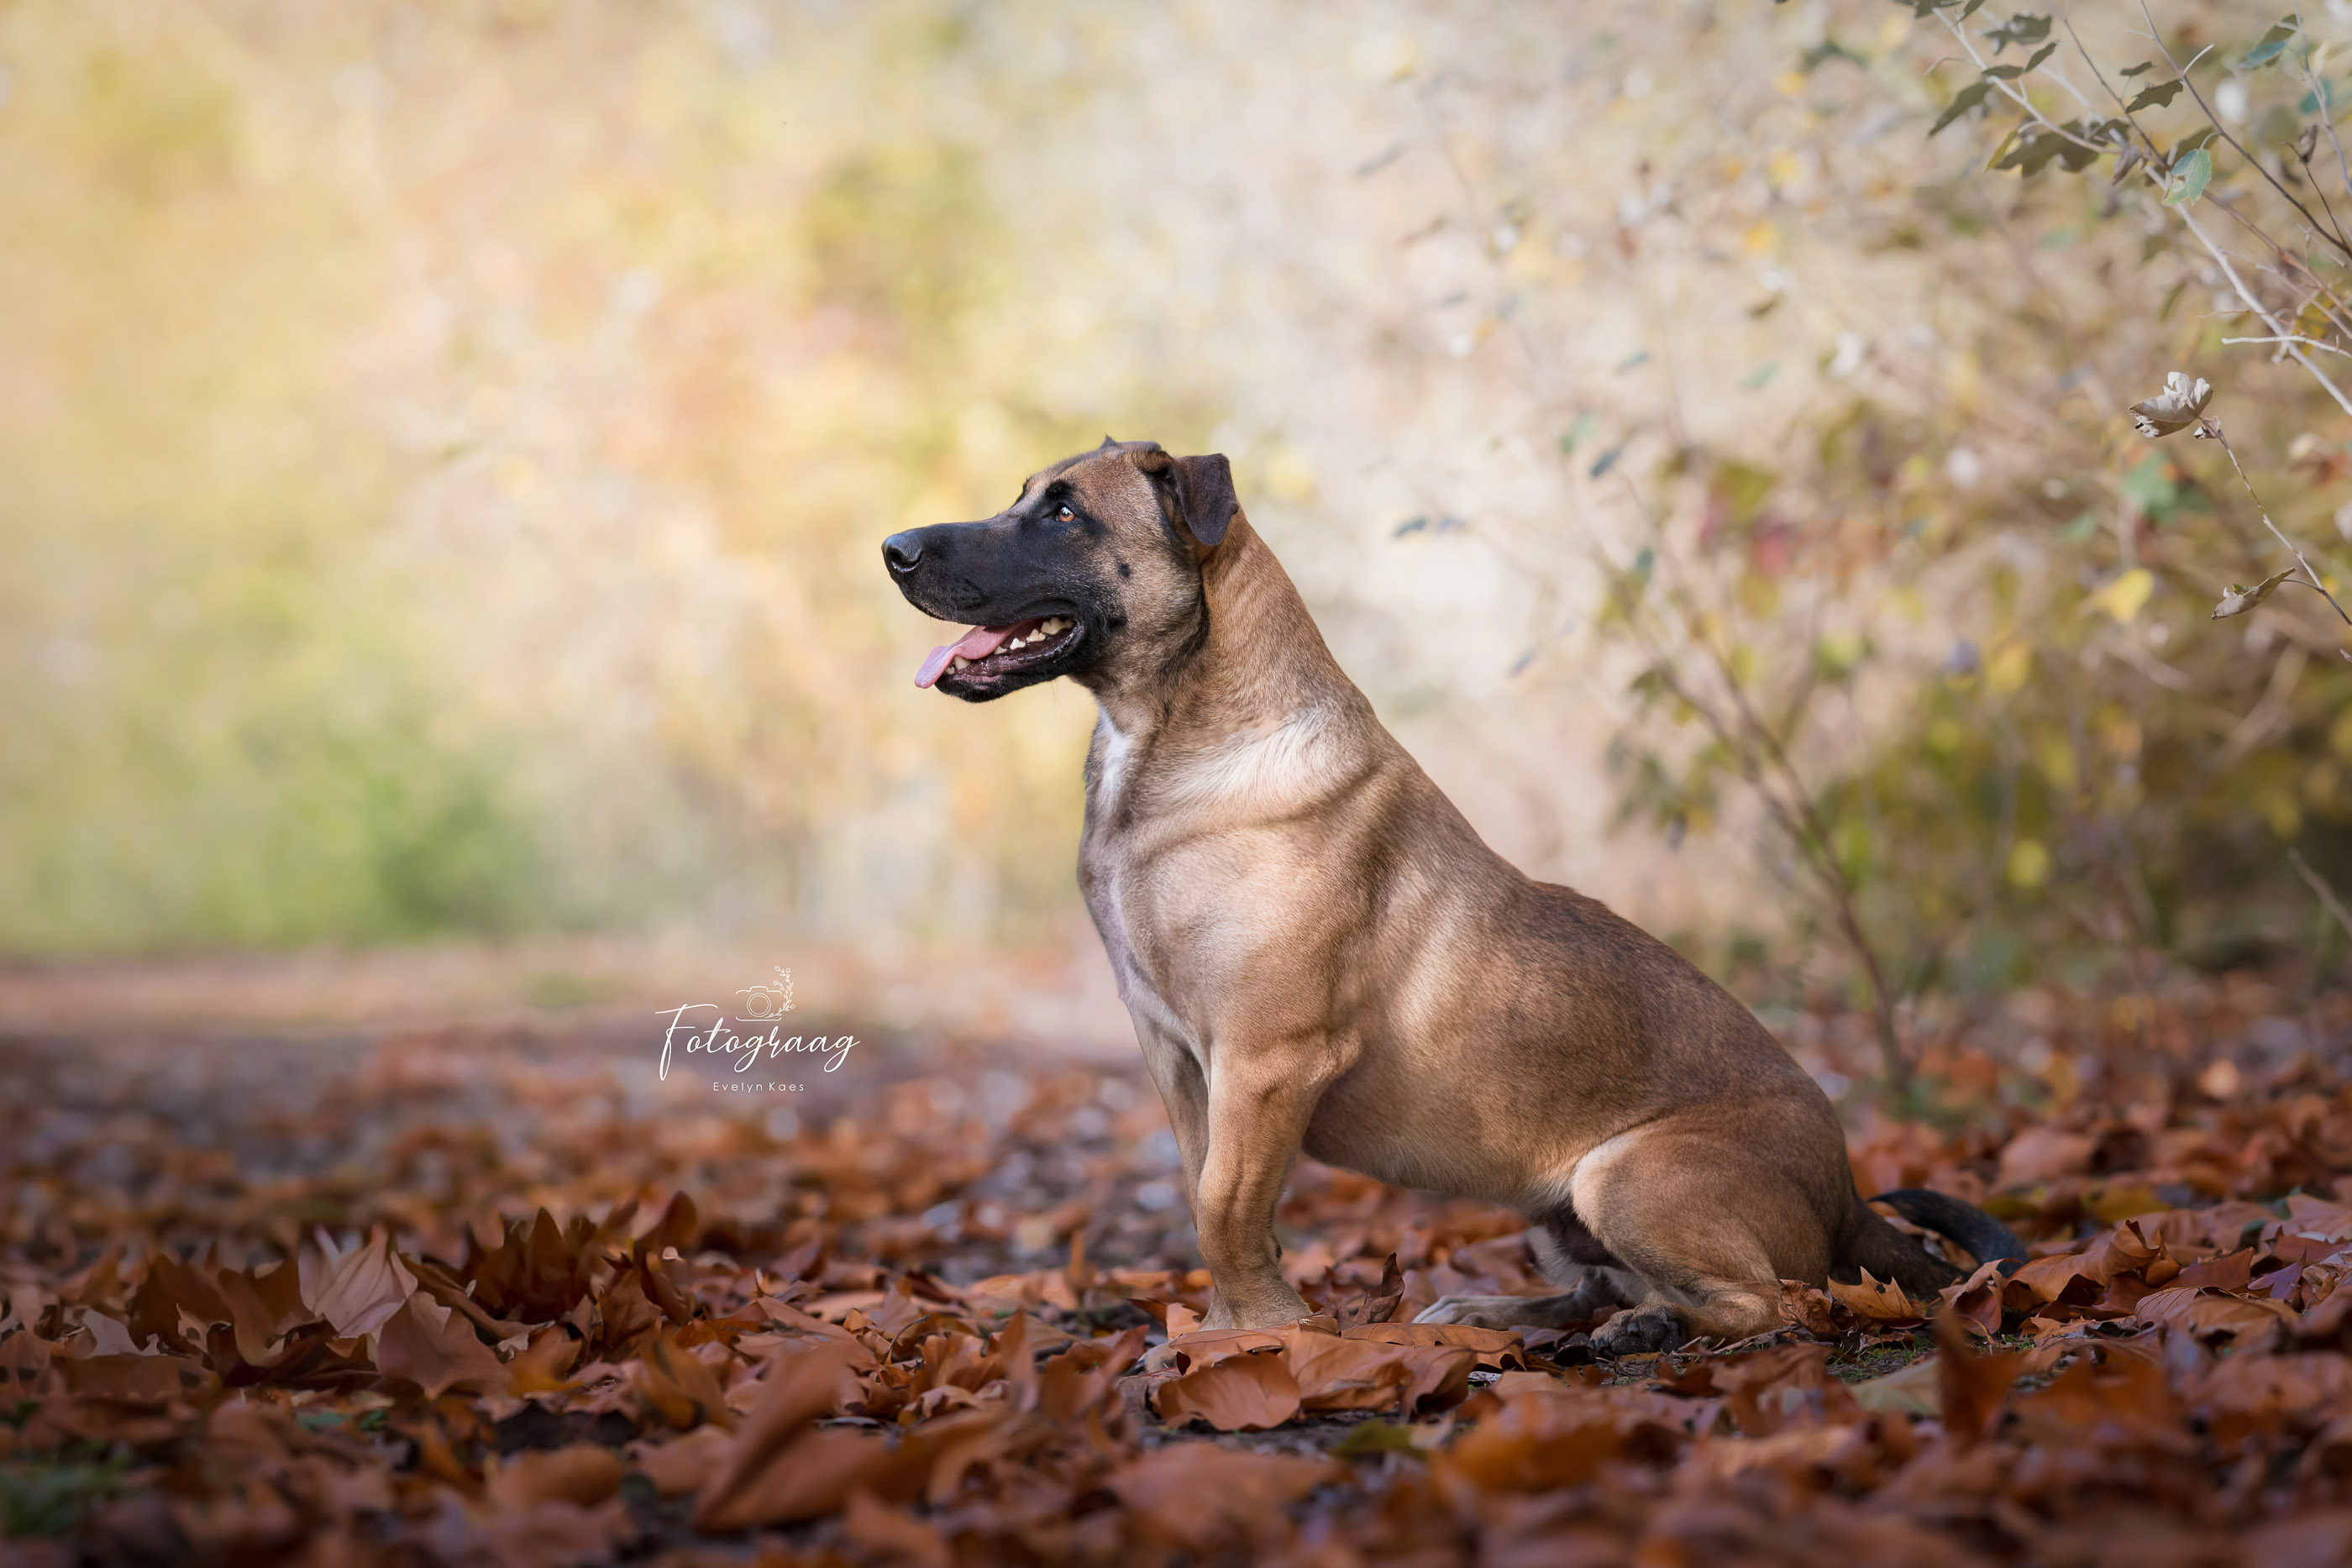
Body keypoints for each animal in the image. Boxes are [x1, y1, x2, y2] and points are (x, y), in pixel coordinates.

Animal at [883, 439, 2021, 1356]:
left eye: (1064, 512)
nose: (893, 548)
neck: (1170, 743)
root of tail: (1847, 1197)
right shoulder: (1179, 1059)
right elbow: (1214, 1202)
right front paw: (1228, 1328)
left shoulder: (1265, 1058)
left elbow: (1222, 1210)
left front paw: (1259, 1338)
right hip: (1558, 1209)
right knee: (1606, 1288)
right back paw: (1497, 1311)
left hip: (1627, 1176)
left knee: (1772, 1303)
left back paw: (1643, 1330)